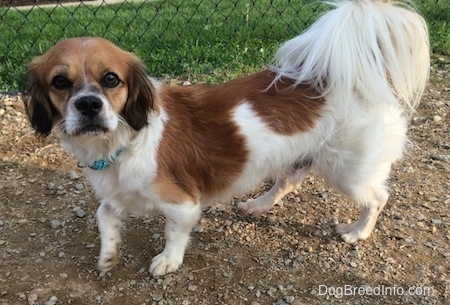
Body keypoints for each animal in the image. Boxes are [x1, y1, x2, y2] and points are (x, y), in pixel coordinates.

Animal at [23, 0, 428, 276]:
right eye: (60, 82)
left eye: (111, 79)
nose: (88, 104)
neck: (124, 138)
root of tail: (353, 74)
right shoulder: (119, 193)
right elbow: (103, 214)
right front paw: (108, 253)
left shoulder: (182, 204)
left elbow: (174, 232)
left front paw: (168, 261)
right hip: (298, 158)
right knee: (287, 182)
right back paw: (257, 205)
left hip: (349, 172)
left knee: (377, 197)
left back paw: (357, 232)